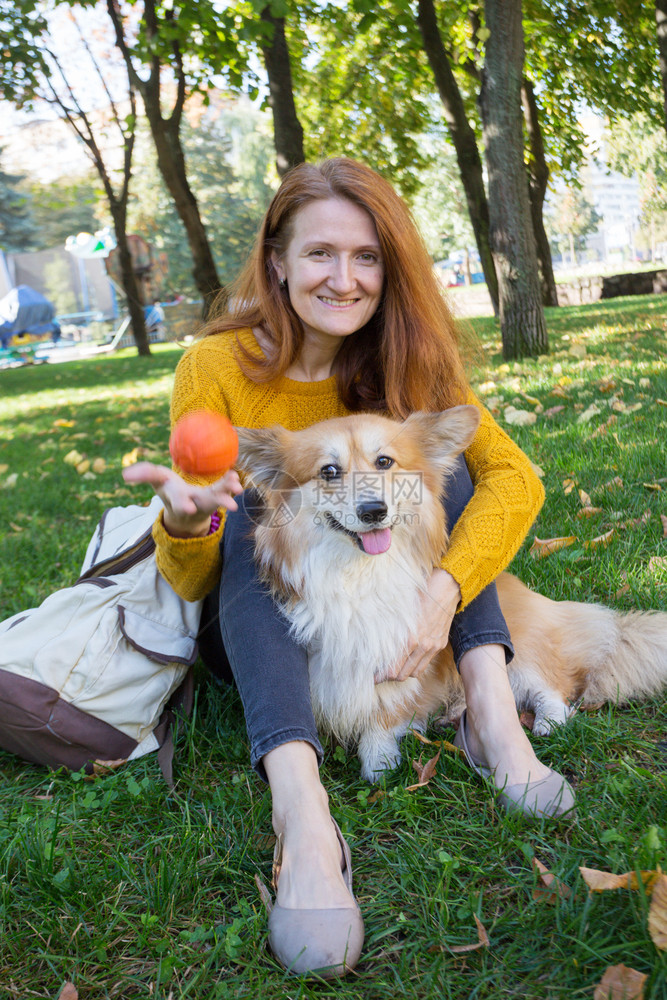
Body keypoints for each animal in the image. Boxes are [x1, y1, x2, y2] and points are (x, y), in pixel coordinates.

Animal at [237, 408, 667, 780]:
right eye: (329, 471)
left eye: (384, 462)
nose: (374, 510)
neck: (360, 573)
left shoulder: (398, 662)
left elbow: (382, 715)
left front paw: (378, 764)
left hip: (524, 653)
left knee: (552, 685)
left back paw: (547, 721)